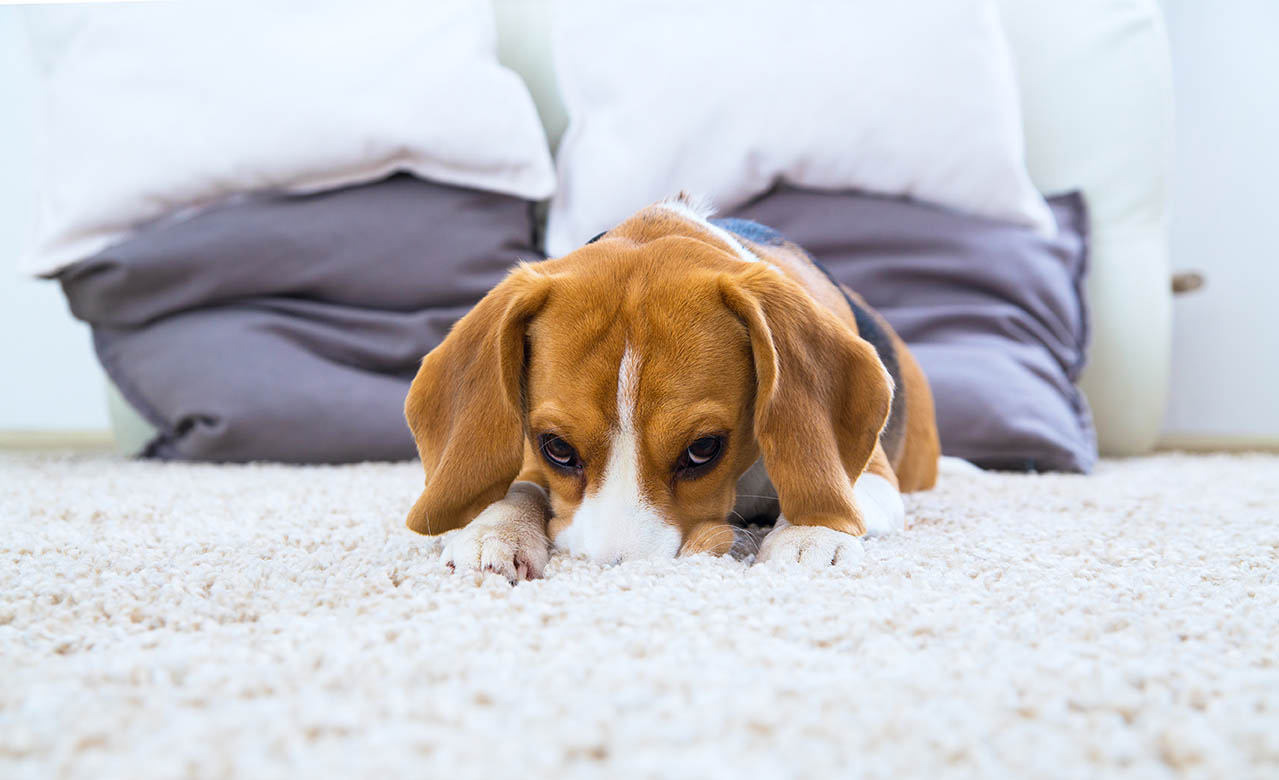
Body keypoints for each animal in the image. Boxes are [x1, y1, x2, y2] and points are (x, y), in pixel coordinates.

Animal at [406, 194, 941, 577]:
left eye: (704, 448)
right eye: (556, 447)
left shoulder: (874, 478)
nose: (618, 573)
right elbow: (518, 487)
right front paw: (495, 531)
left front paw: (810, 535)